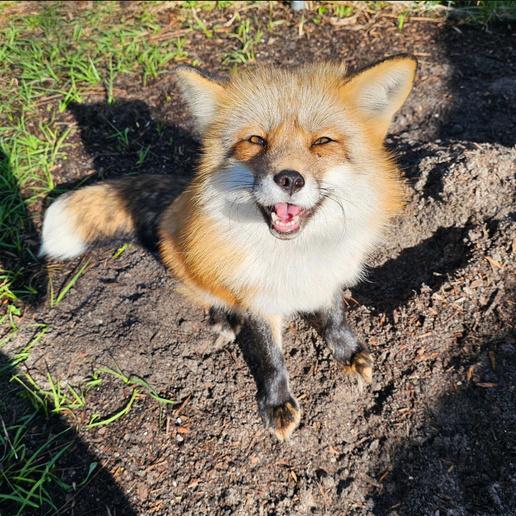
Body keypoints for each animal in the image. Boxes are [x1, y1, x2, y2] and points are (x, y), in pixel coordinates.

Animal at [40, 56, 417, 441]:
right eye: (255, 140)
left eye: (323, 141)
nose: (289, 178)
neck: (295, 257)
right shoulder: (257, 299)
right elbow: (270, 358)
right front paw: (277, 404)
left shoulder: (329, 277)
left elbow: (335, 318)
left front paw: (348, 353)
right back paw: (225, 316)